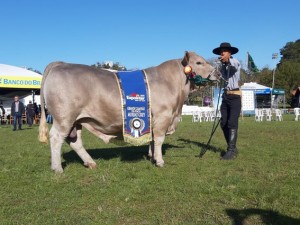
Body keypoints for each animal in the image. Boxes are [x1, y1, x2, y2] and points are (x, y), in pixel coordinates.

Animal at [38, 51, 220, 174]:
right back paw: (57, 168)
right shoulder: (163, 116)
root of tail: (60, 63)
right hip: (64, 117)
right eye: (199, 62)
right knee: (56, 138)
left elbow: (152, 140)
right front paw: (160, 161)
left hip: (76, 121)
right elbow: (159, 140)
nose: (218, 73)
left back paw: (90, 163)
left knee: (74, 141)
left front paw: (152, 157)